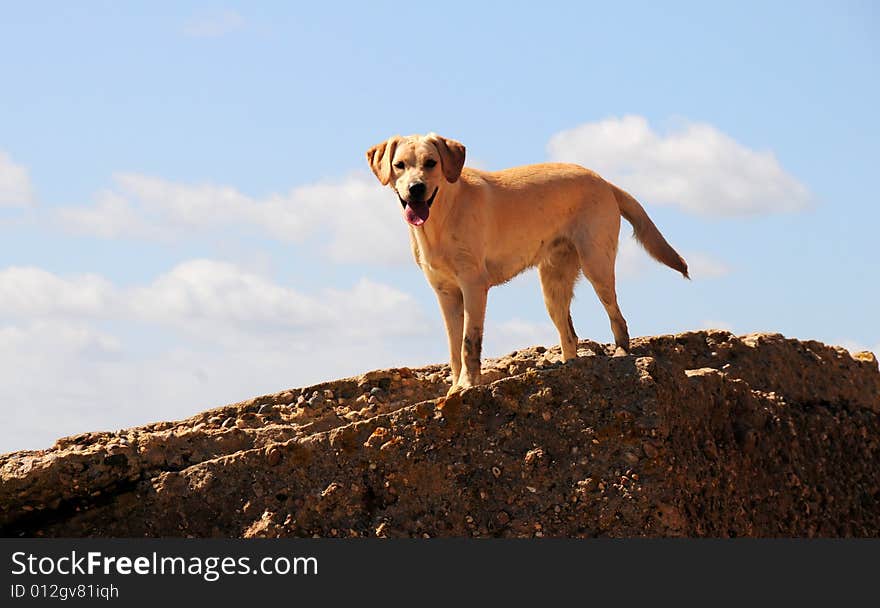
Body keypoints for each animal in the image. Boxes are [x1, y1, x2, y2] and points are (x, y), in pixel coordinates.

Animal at [366, 132, 688, 394]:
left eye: (431, 163)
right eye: (400, 165)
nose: (416, 188)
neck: (440, 219)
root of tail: (602, 180)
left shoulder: (473, 286)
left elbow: (470, 344)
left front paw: (468, 385)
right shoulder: (446, 294)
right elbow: (454, 348)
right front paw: (455, 386)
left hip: (597, 266)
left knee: (617, 318)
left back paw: (621, 355)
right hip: (553, 286)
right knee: (569, 335)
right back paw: (569, 367)